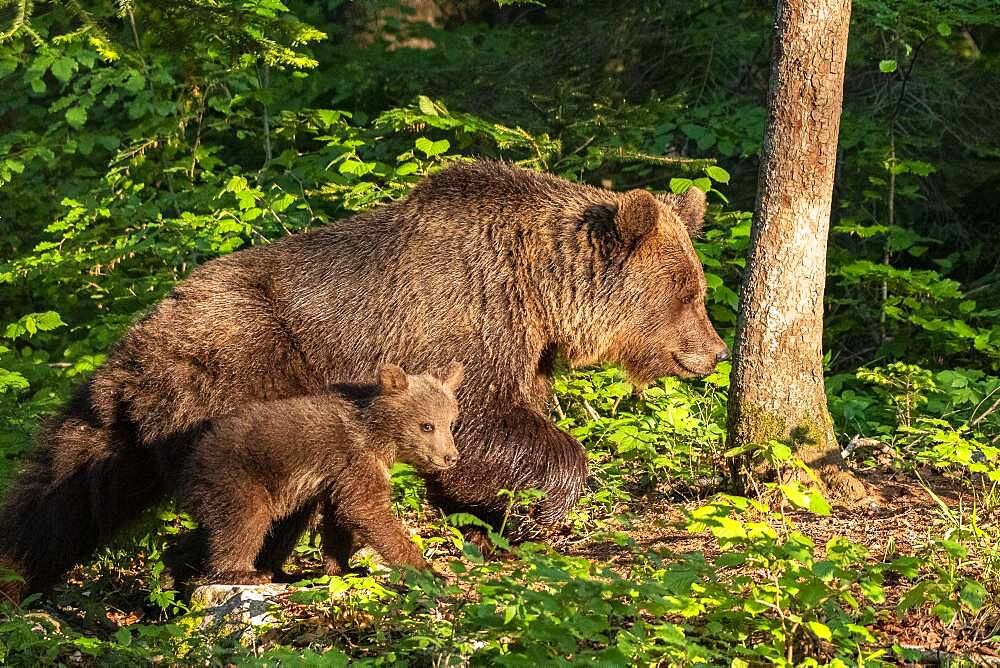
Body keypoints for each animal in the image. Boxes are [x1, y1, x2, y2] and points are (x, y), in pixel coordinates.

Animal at [0, 159, 724, 596]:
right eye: (686, 292)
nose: (714, 351)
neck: (538, 290)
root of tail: (139, 339)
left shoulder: (524, 347)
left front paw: (487, 520)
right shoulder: (461, 321)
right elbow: (485, 426)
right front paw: (532, 511)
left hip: (133, 419)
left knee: (65, 486)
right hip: (241, 384)